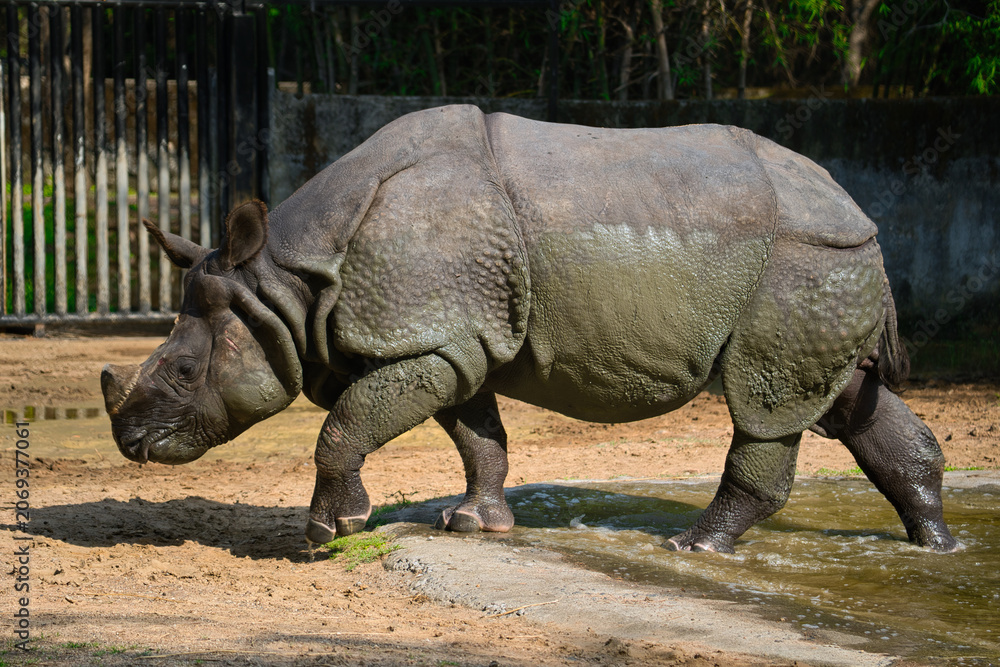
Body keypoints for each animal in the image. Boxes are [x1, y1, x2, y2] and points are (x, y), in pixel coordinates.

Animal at [102, 105, 957, 553]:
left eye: (184, 372)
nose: (130, 442)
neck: (284, 282)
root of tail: (861, 212)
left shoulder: (428, 336)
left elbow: (344, 423)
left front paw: (326, 531)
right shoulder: (455, 339)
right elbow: (478, 435)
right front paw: (473, 523)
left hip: (798, 259)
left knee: (767, 402)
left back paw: (695, 546)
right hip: (825, 264)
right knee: (845, 397)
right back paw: (937, 546)